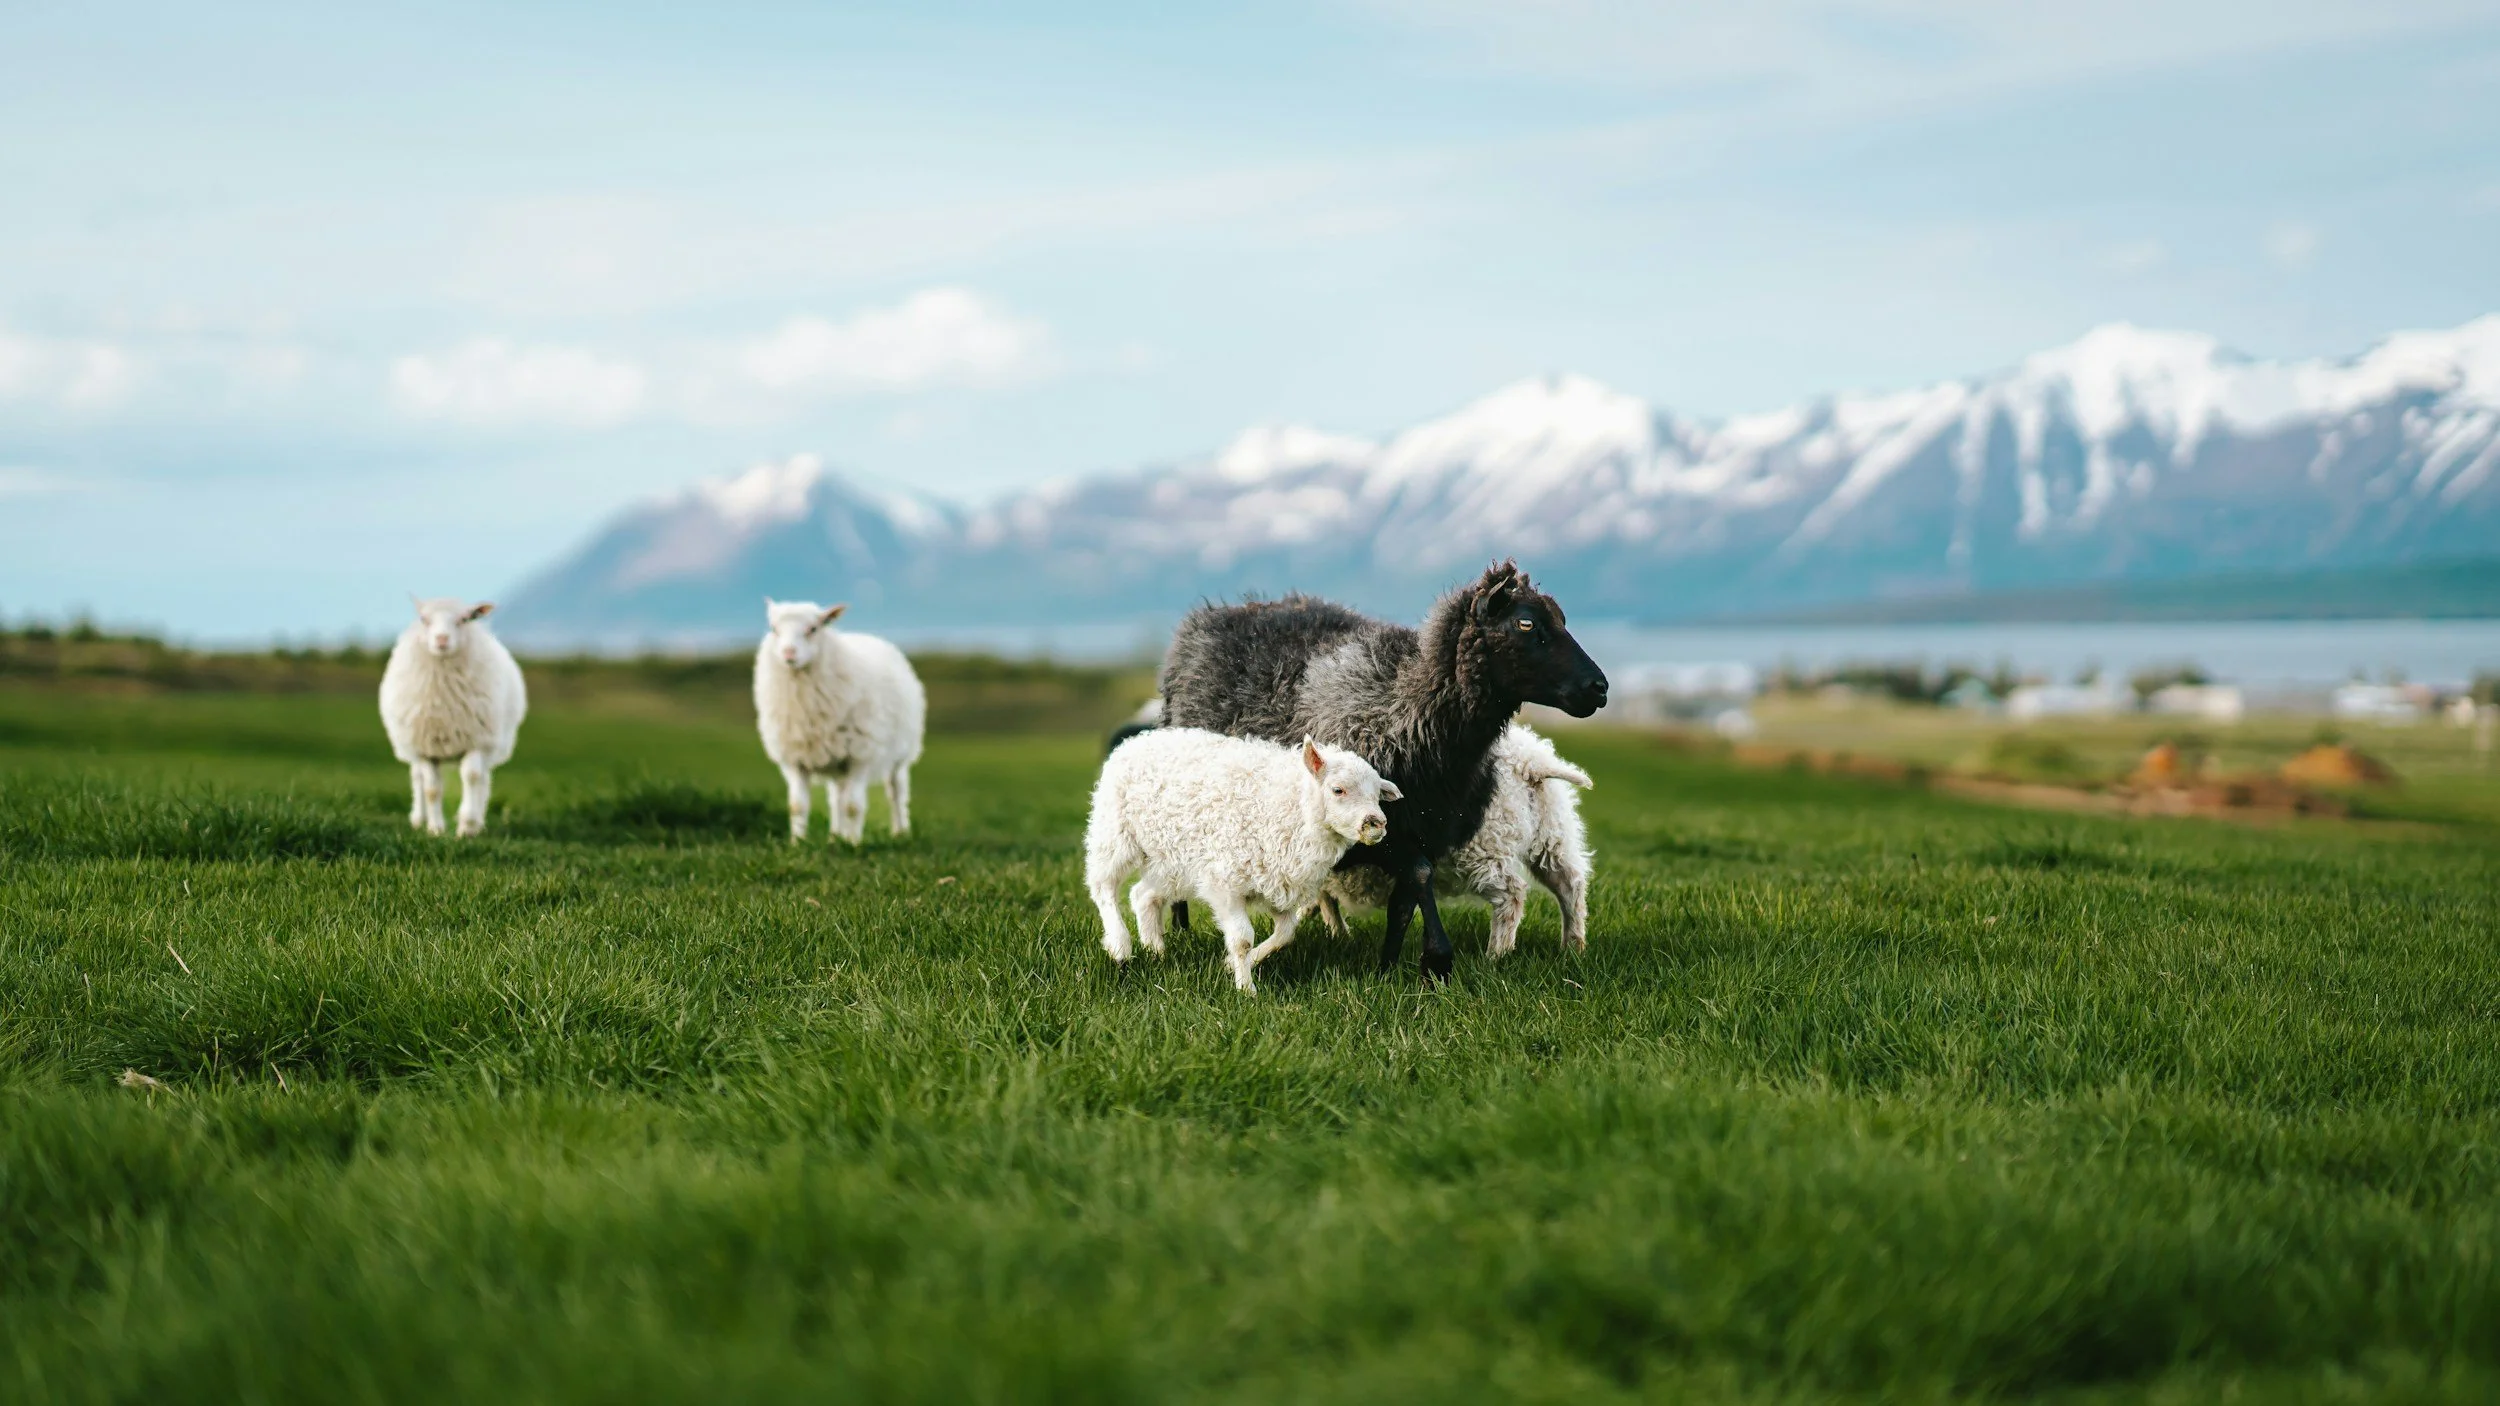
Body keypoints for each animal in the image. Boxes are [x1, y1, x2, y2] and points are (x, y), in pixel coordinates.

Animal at [380, 597, 528, 837]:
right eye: (424, 619)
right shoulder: (426, 747)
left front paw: (467, 826)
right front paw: (435, 829)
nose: (442, 639)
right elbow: (431, 789)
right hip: (410, 743)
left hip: (492, 743)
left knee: (483, 779)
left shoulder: (476, 740)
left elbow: (472, 777)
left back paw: (477, 821)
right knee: (417, 777)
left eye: (464, 620)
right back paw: (418, 819)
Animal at [753, 599, 926, 845]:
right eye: (774, 629)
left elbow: (853, 806)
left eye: (813, 629)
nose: (788, 653)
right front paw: (797, 843)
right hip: (836, 759)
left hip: (900, 754)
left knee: (895, 791)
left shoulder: (860, 755)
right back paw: (835, 837)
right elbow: (797, 806)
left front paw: (853, 845)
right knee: (836, 799)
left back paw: (900, 832)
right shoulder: (796, 759)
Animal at [1086, 727, 1401, 994]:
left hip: (1171, 860)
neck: (1293, 809)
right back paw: (1120, 946)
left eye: (1378, 795)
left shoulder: (1278, 884)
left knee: (1143, 895)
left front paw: (1234, 965)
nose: (1376, 823)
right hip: (1114, 834)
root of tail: (1137, 740)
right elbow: (1241, 939)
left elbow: (1285, 934)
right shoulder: (1226, 884)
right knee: (1103, 887)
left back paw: (1155, 951)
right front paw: (1246, 990)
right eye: (1338, 790)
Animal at [1320, 723, 1592, 957]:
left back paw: (1495, 956)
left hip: (1483, 846)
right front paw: (1339, 935)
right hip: (1551, 833)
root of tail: (1526, 762)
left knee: (1511, 894)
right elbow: (1327, 900)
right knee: (1570, 884)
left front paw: (1336, 934)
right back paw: (1572, 947)